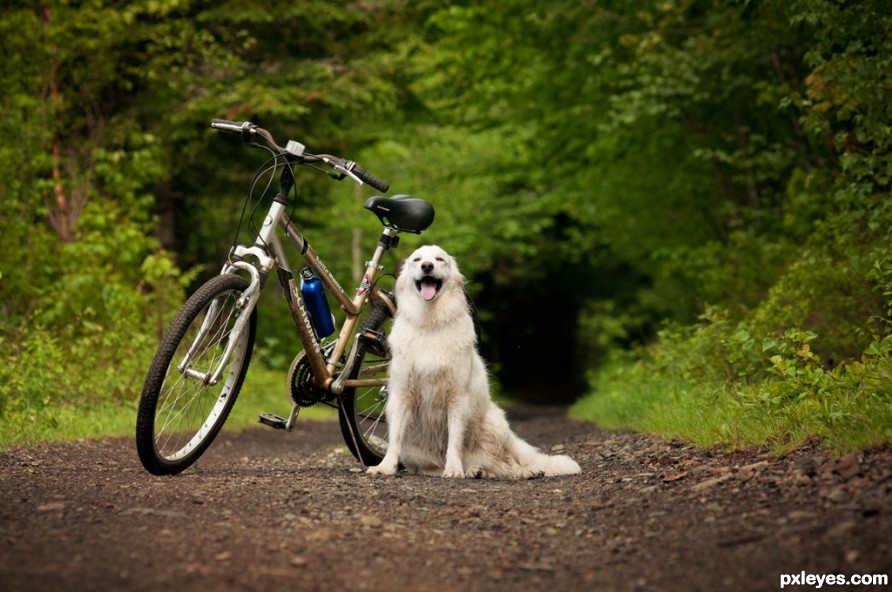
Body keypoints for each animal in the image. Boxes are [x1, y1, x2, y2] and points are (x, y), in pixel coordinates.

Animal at [366, 245, 580, 480]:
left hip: (496, 423)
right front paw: (385, 467)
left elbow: (454, 439)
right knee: (484, 468)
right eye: (417, 260)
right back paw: (474, 470)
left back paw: (525, 471)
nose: (427, 266)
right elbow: (395, 436)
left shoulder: (457, 397)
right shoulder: (403, 393)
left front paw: (453, 469)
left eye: (439, 259)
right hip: (418, 455)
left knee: (508, 465)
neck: (430, 322)